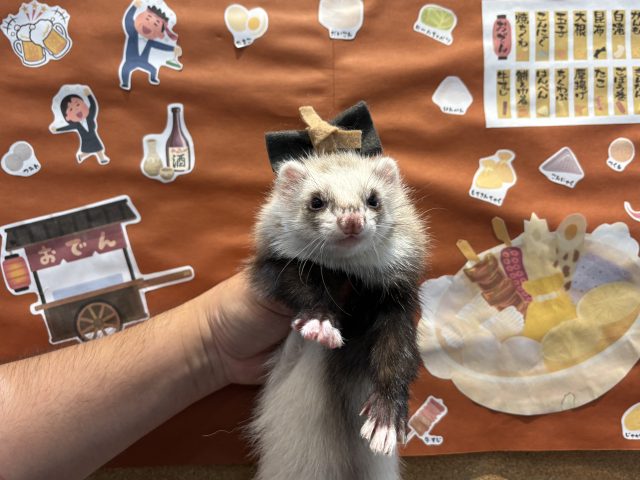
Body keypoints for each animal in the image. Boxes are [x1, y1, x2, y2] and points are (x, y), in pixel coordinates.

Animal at [248, 150, 428, 480]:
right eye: (316, 200)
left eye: (373, 198)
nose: (351, 220)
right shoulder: (275, 267)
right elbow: (300, 286)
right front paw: (320, 322)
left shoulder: (396, 302)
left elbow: (398, 356)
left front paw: (386, 418)